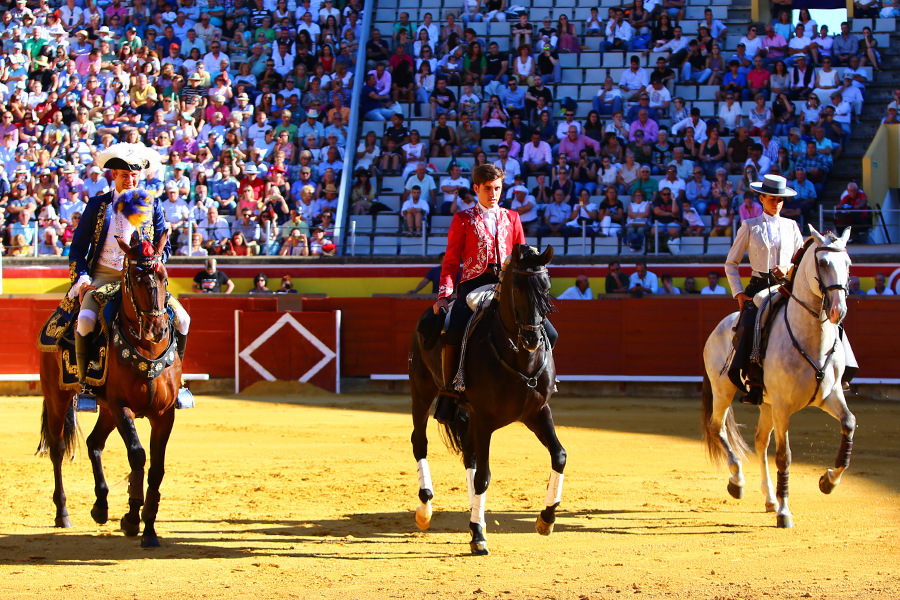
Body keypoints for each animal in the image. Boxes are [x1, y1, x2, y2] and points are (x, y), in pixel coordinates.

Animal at [37, 232, 181, 547]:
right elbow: (138, 455)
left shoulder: (164, 414)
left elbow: (157, 468)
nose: (156, 329)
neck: (147, 349)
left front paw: (148, 529)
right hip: (57, 397)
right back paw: (62, 513)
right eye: (135, 279)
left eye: (164, 277)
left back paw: (101, 507)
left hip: (104, 409)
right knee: (58, 448)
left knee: (94, 443)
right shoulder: (121, 406)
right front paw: (131, 520)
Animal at [408, 244, 564, 555]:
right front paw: (478, 536)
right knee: (420, 442)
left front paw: (546, 519)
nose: (532, 339)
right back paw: (425, 510)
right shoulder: (485, 419)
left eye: (547, 287)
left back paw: (472, 512)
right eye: (516, 289)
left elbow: (559, 456)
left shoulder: (538, 412)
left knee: (468, 455)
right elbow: (484, 476)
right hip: (421, 391)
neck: (521, 359)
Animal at [701, 226, 856, 528]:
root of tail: (718, 327)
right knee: (717, 427)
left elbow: (849, 424)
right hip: (724, 390)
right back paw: (738, 482)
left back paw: (770, 499)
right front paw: (785, 513)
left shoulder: (830, 395)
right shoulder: (784, 407)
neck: (812, 338)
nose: (838, 311)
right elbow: (784, 457)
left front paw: (828, 481)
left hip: (766, 403)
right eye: (822, 263)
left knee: (761, 440)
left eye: (848, 264)